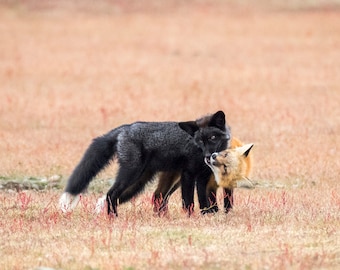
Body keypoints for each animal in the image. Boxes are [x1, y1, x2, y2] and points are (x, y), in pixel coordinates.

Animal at [59, 110, 230, 216]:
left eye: (213, 138)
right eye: (200, 141)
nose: (207, 157)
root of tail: (125, 128)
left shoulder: (203, 177)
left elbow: (204, 199)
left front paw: (207, 215)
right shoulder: (188, 174)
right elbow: (188, 201)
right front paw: (190, 217)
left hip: (140, 182)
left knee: (151, 197)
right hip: (131, 175)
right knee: (110, 194)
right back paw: (113, 218)